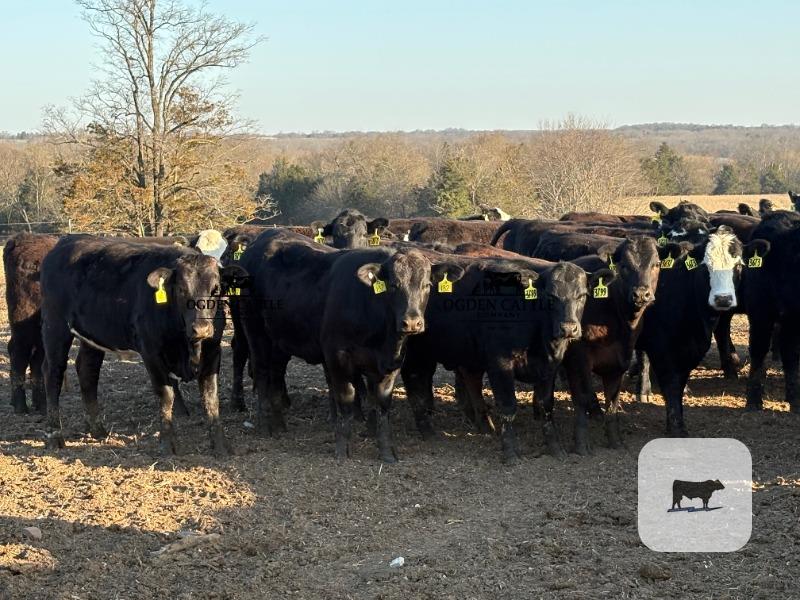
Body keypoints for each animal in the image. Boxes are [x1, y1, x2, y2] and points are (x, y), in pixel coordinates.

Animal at [39, 235, 246, 454]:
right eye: (181, 289)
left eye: (216, 289)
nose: (201, 329)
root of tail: (67, 240)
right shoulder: (151, 352)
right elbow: (166, 396)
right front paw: (167, 443)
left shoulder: (213, 351)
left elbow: (211, 398)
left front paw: (221, 445)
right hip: (55, 325)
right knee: (53, 373)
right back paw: (55, 436)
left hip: (92, 334)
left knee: (87, 370)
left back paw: (98, 430)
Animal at [237, 229, 463, 462]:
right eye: (393, 285)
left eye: (427, 285)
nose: (411, 322)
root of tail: (264, 237)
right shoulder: (336, 356)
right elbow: (346, 399)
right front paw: (342, 449)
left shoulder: (392, 362)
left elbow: (382, 405)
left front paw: (386, 451)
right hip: (255, 331)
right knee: (261, 373)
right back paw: (265, 426)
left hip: (280, 340)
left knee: (275, 374)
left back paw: (279, 425)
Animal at [401, 249, 608, 461]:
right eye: (550, 297)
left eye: (582, 296)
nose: (568, 328)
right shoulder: (500, 364)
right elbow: (508, 407)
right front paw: (510, 452)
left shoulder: (549, 366)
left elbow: (546, 406)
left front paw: (555, 448)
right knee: (414, 381)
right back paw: (427, 429)